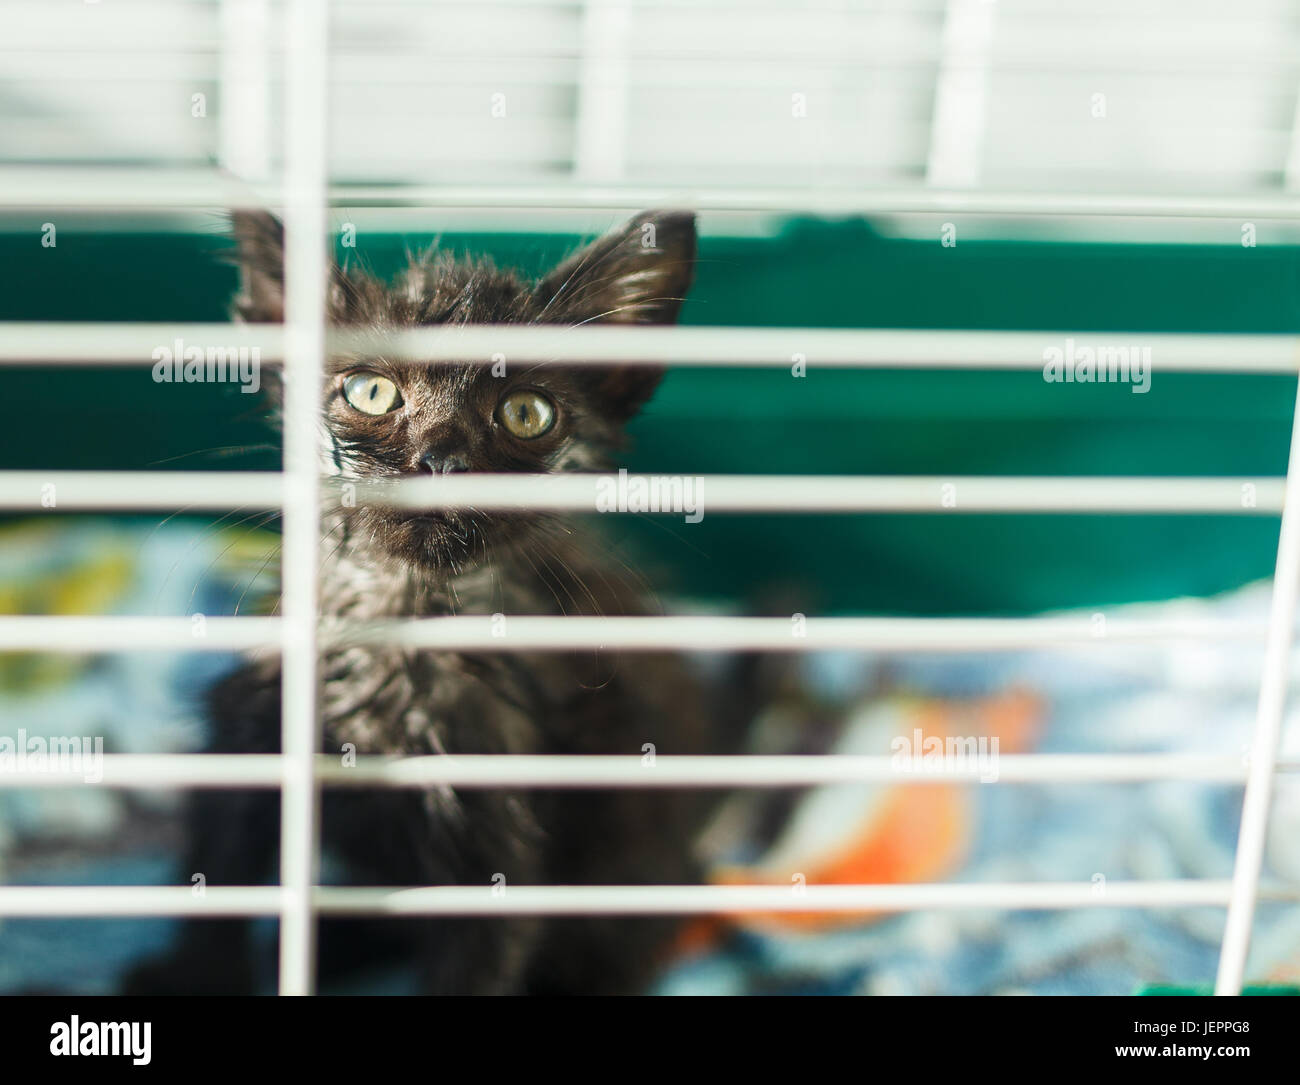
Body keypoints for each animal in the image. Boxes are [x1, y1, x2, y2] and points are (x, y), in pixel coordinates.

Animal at [129, 207, 743, 997]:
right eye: (371, 392)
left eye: (525, 411)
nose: (443, 458)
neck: (400, 618)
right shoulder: (250, 738)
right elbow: (217, 880)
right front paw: (189, 973)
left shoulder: (494, 838)